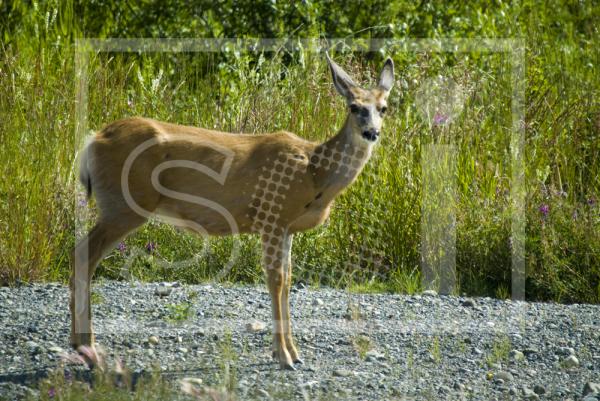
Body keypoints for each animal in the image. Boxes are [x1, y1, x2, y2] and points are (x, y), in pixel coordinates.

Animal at [71, 53, 394, 368]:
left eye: (384, 108)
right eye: (354, 107)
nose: (372, 132)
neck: (315, 171)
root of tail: (92, 140)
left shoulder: (287, 227)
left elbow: (289, 280)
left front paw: (294, 352)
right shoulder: (272, 215)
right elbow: (276, 280)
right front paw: (284, 356)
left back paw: (81, 345)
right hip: (123, 205)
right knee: (84, 254)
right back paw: (87, 346)